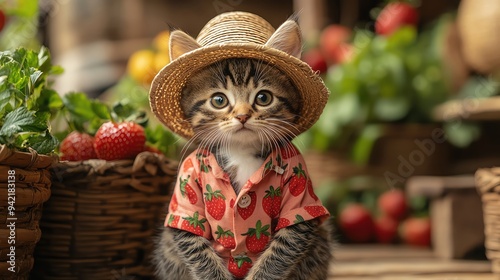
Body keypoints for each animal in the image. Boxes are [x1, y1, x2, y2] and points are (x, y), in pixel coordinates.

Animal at [152, 18, 332, 278]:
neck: (242, 152)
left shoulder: (299, 181)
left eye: (263, 98)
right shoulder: (187, 186)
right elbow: (196, 246)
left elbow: (282, 249)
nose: (243, 116)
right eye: (219, 100)